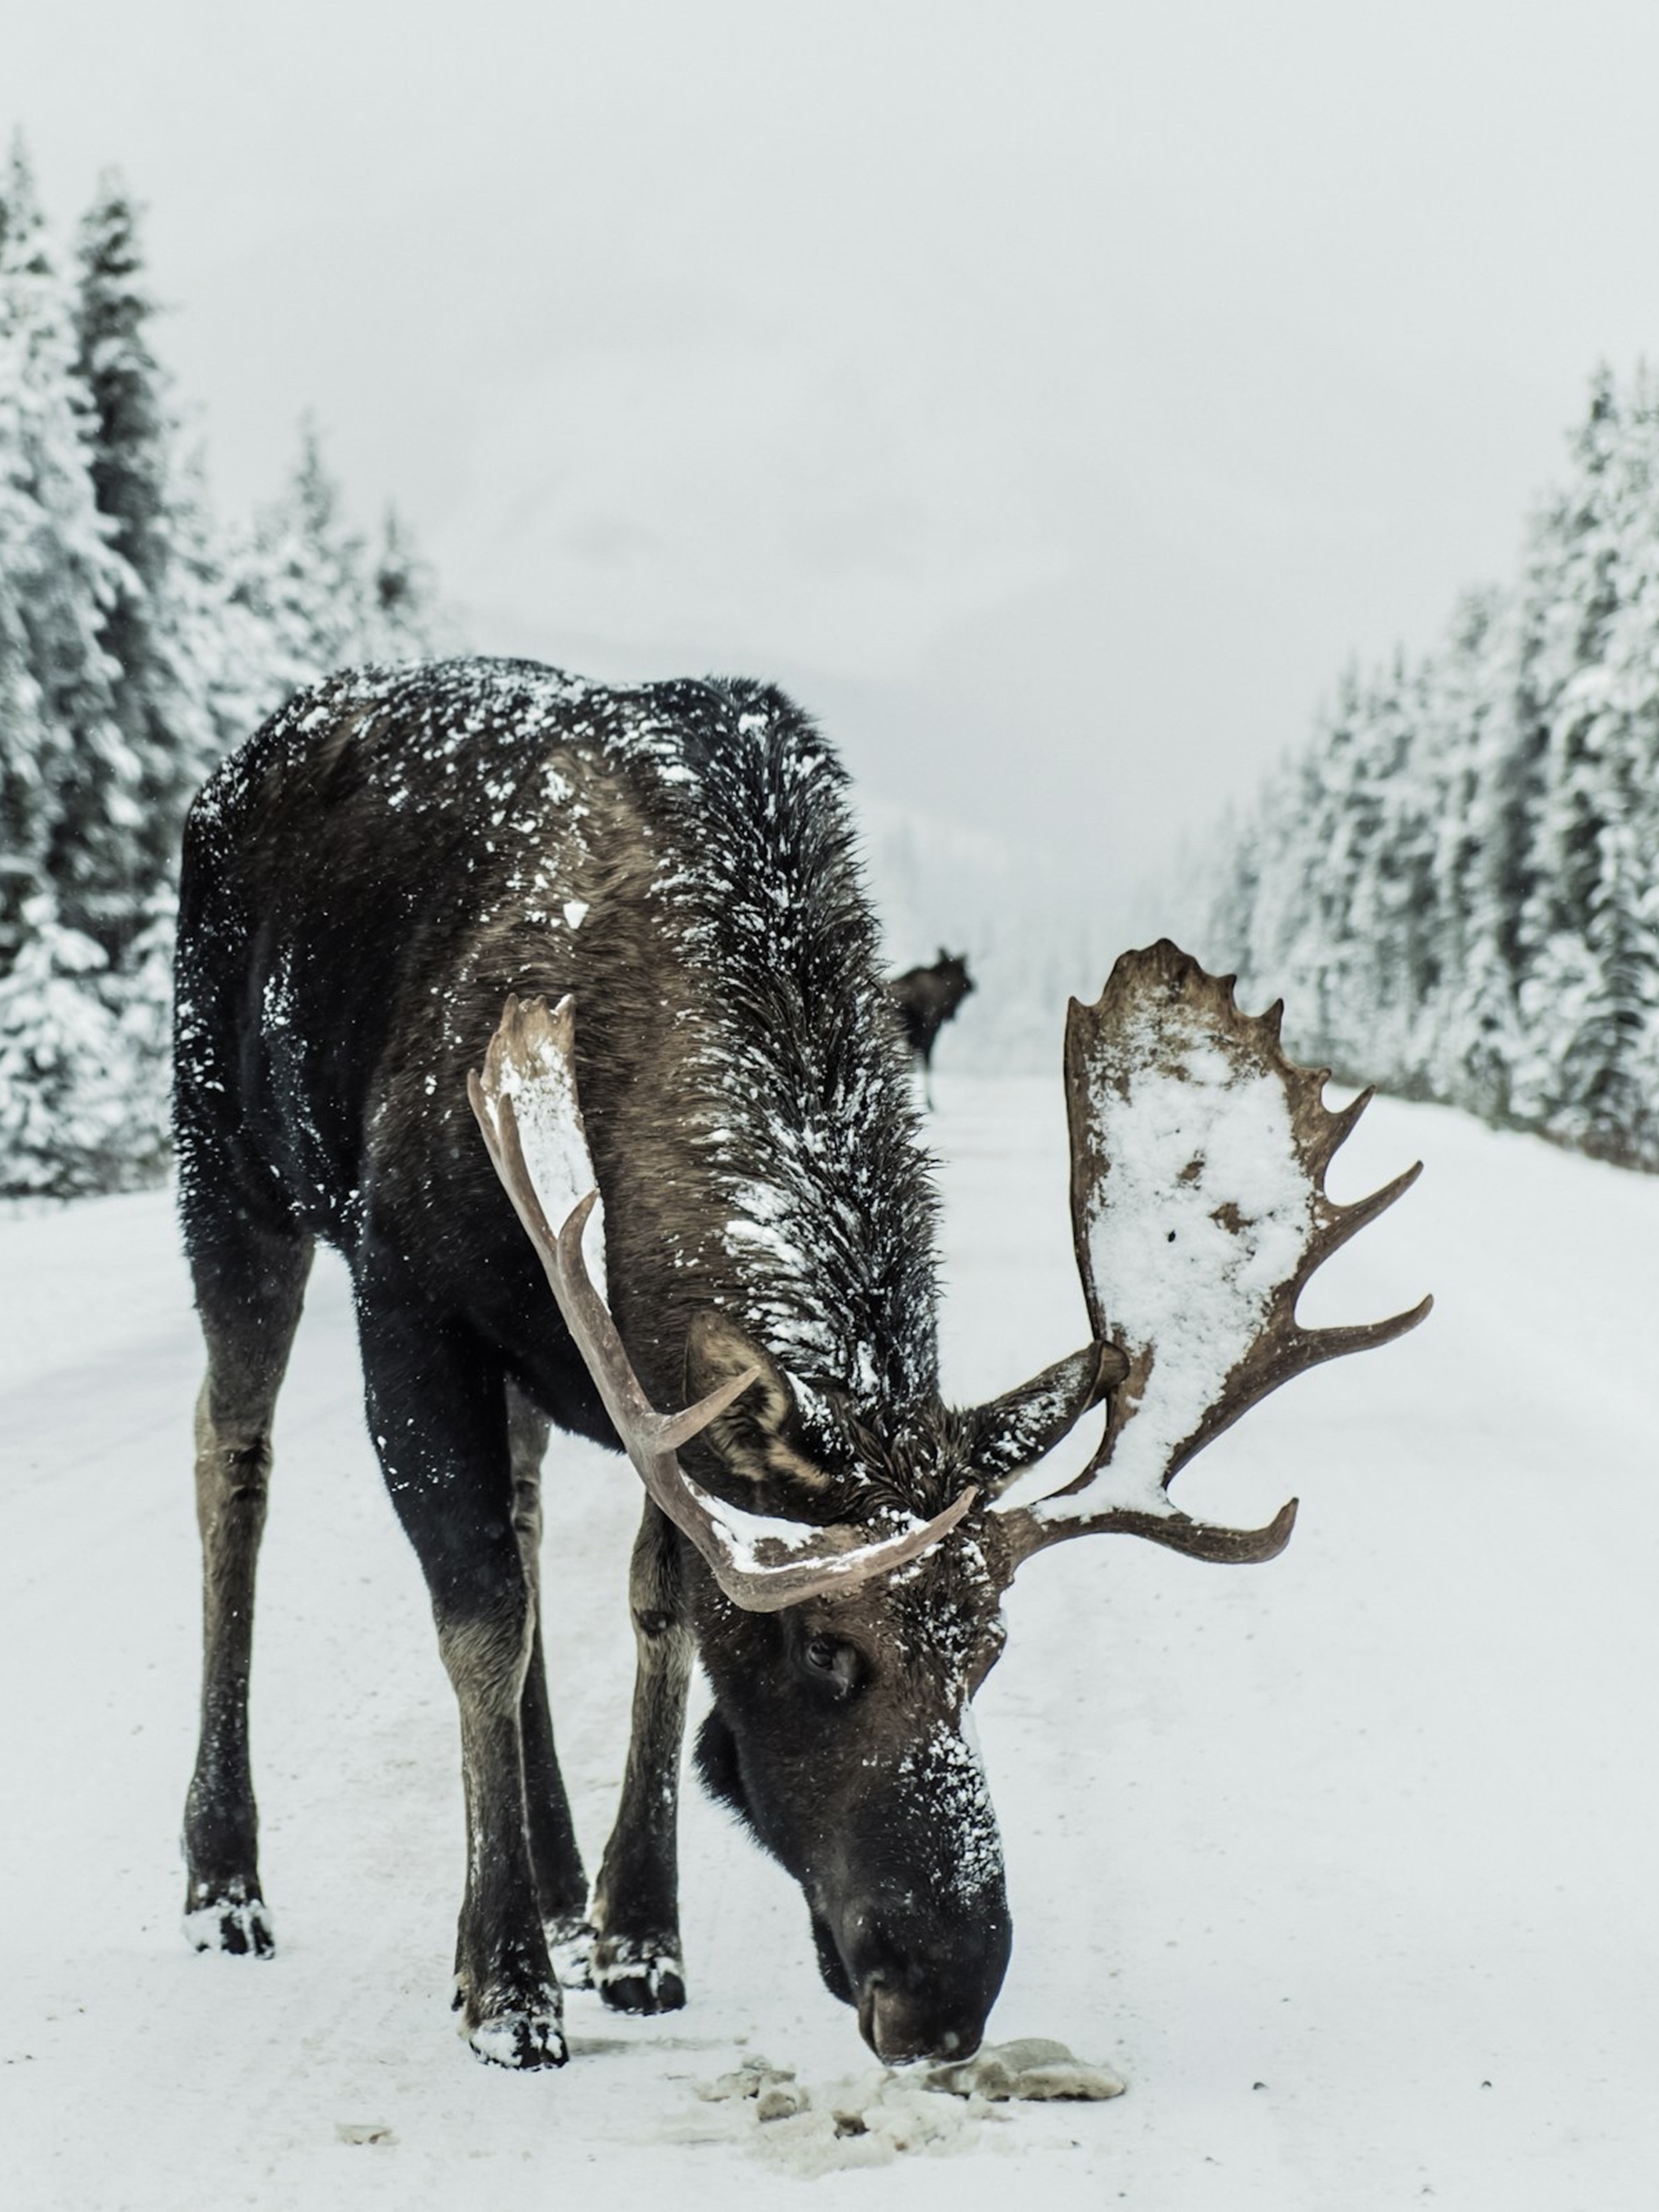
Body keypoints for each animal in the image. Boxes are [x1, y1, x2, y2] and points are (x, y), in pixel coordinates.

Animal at [174, 657, 1429, 2073]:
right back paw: (226, 1881)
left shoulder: (645, 1386)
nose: (944, 1996)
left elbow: (657, 1609)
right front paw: (502, 1986)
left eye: (992, 1649)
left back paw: (557, 1879)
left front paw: (637, 1931)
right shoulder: (409, 1292)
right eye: (828, 1652)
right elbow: (481, 1620)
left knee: (526, 1511)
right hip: (228, 1165)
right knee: (234, 1460)